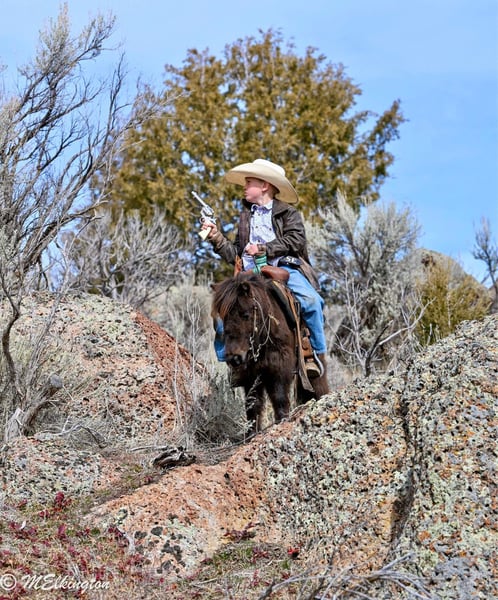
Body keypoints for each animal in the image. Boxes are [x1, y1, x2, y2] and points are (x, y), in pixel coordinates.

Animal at [211, 271, 329, 433]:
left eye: (245, 314)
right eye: (223, 318)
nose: (234, 358)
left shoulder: (279, 366)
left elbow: (279, 397)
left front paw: (281, 421)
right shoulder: (251, 374)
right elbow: (253, 404)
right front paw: (251, 433)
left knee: (319, 384)